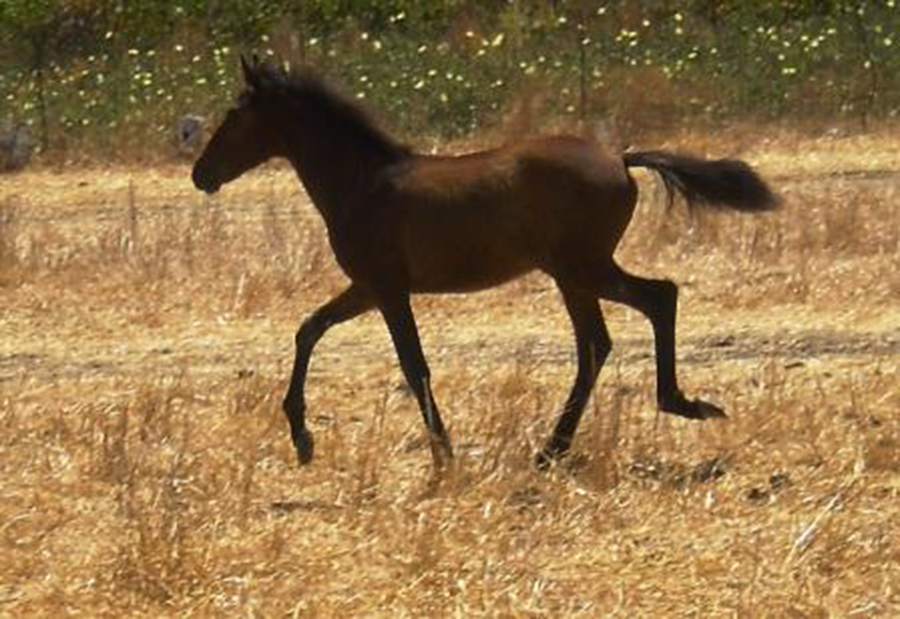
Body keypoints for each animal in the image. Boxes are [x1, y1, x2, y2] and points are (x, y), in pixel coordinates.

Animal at [192, 58, 780, 472]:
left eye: (234, 114)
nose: (201, 173)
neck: (364, 182)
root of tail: (620, 158)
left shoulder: (388, 288)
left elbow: (413, 365)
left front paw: (444, 457)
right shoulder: (366, 287)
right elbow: (309, 329)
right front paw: (302, 438)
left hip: (580, 268)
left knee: (654, 299)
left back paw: (673, 406)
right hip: (575, 274)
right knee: (600, 341)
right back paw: (556, 448)